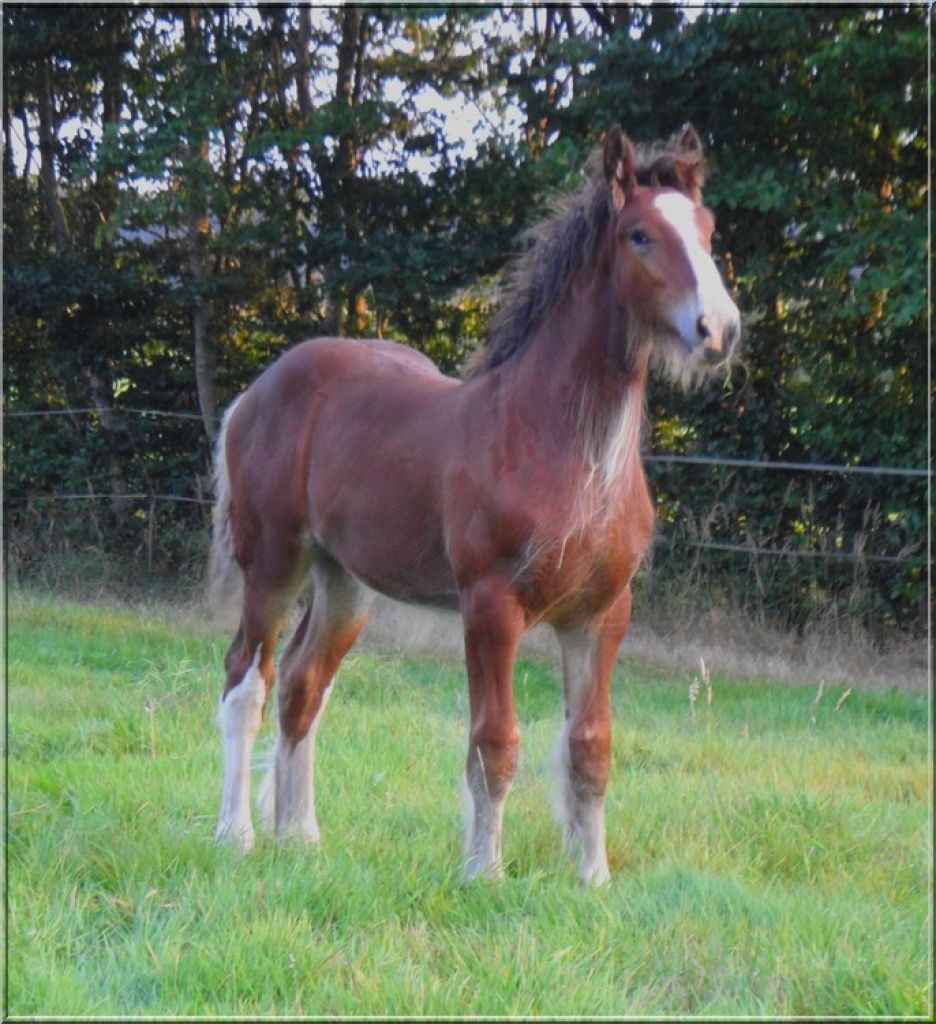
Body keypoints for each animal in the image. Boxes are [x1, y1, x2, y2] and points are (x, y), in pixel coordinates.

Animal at [208, 123, 741, 885]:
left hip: (346, 583)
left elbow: (591, 745)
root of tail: (256, 391)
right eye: (640, 235)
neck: (564, 448)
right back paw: (238, 834)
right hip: (273, 562)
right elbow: (495, 740)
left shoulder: (603, 613)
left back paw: (300, 836)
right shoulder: (491, 605)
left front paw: (593, 878)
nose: (718, 330)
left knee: (303, 687)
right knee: (245, 681)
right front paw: (483, 873)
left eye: (707, 228)